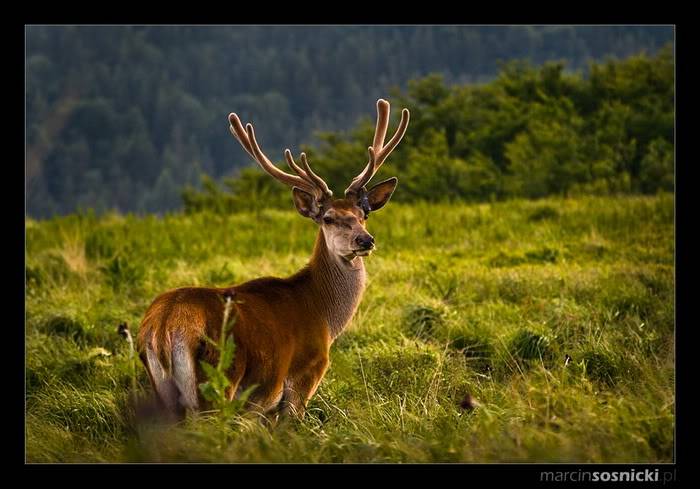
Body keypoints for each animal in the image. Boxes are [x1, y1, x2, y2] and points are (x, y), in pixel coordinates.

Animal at [136, 98, 408, 420]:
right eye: (328, 218)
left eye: (363, 214)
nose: (365, 240)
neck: (324, 316)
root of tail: (163, 327)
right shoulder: (304, 376)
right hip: (218, 379)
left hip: (163, 391)